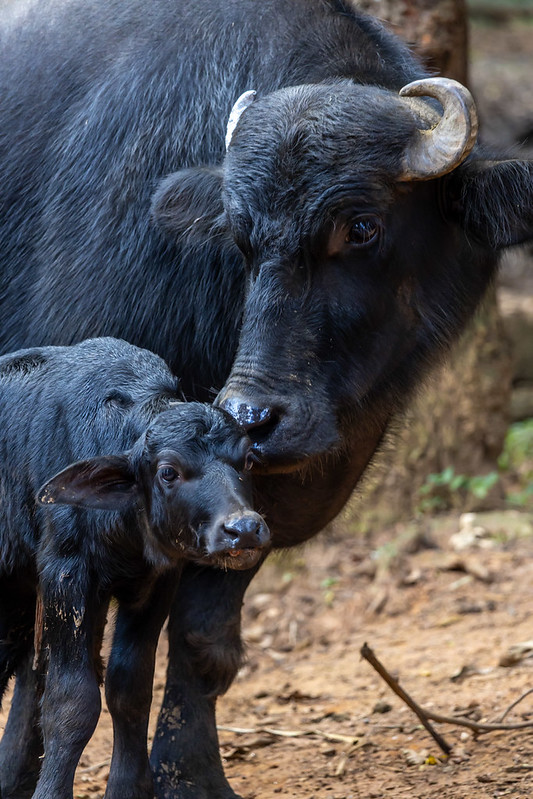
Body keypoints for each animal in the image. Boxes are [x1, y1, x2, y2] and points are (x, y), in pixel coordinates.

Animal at [0, 0, 532, 796]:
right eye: (240, 238)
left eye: (361, 226)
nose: (253, 416)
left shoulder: (242, 511)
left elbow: (203, 641)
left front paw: (189, 774)